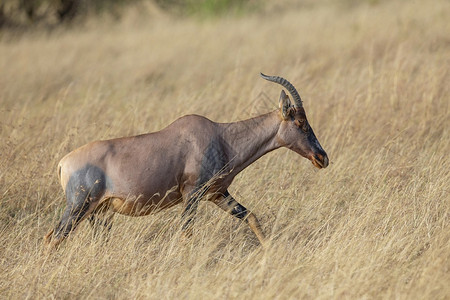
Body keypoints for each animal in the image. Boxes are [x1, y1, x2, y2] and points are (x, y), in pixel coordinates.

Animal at [44, 73, 328, 251]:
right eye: (300, 123)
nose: (322, 157)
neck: (220, 136)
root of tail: (63, 163)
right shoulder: (192, 194)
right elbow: (185, 234)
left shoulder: (217, 194)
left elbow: (251, 217)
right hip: (78, 207)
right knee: (53, 238)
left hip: (99, 213)